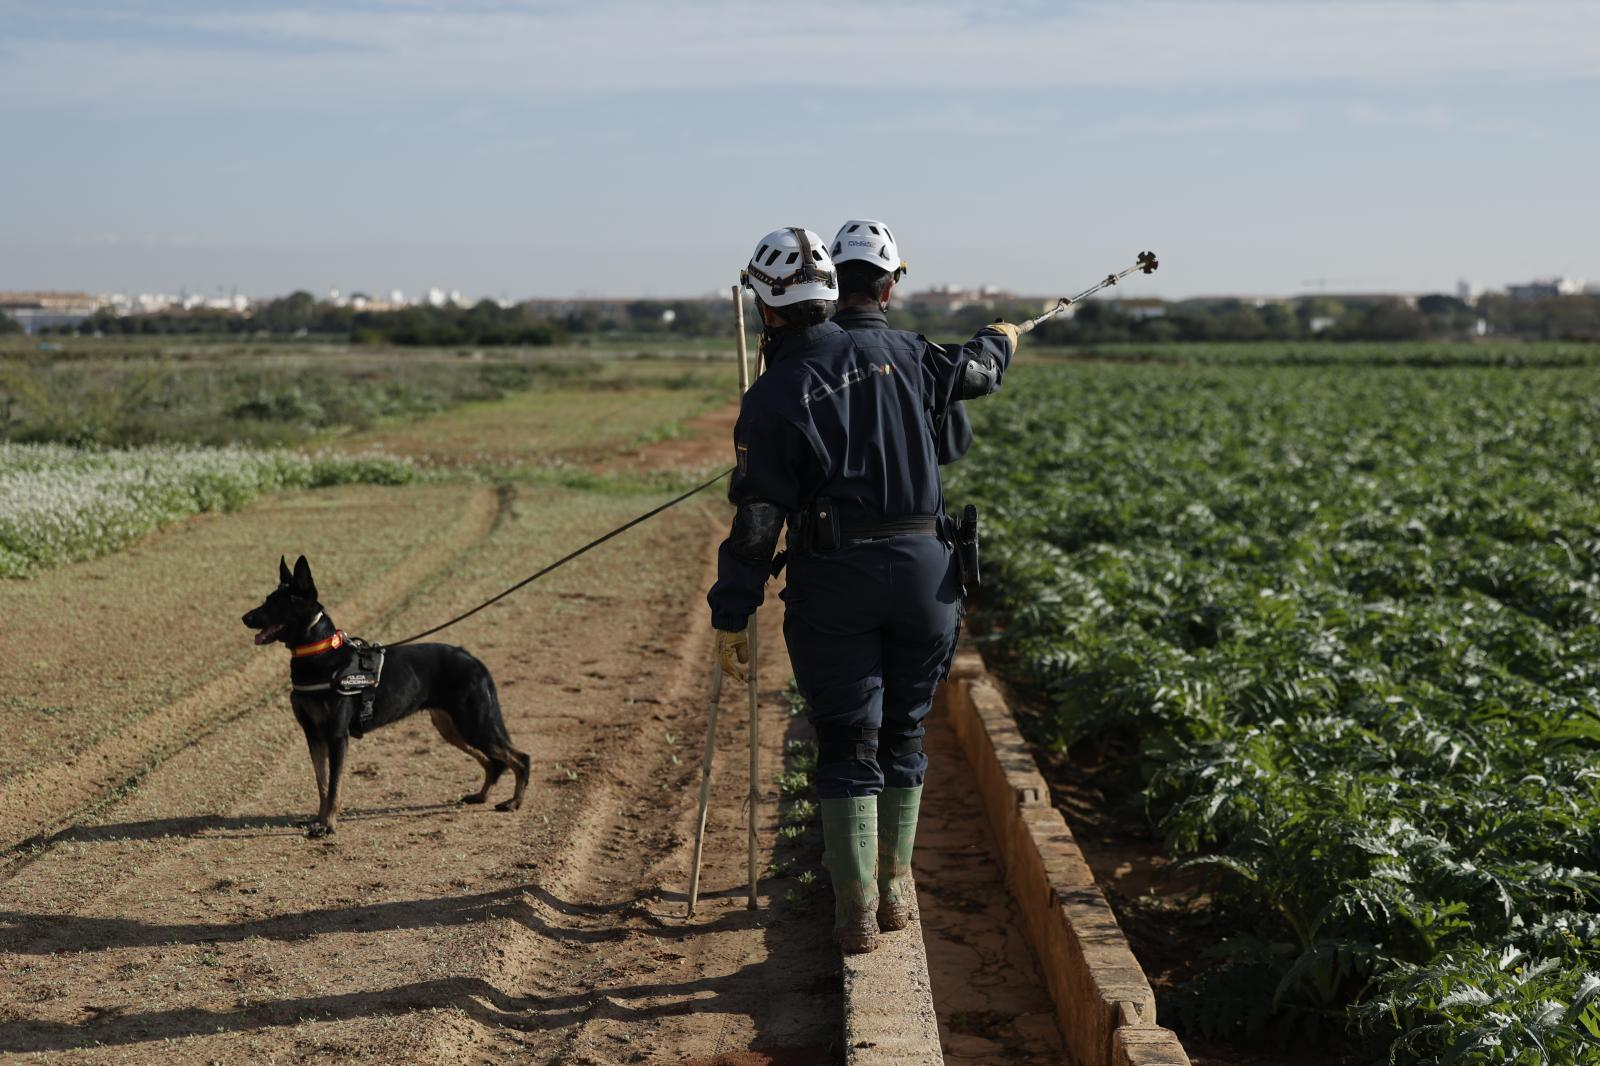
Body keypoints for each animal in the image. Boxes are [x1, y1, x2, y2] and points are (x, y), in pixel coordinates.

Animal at [240, 550, 531, 832]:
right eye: (267, 599)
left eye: (277, 603)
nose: (244, 618)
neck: (319, 653)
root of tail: (473, 659)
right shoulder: (313, 735)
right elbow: (321, 784)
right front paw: (318, 820)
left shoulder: (337, 736)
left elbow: (334, 786)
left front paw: (329, 825)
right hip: (451, 728)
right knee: (492, 762)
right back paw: (481, 796)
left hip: (474, 724)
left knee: (520, 758)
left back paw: (514, 802)